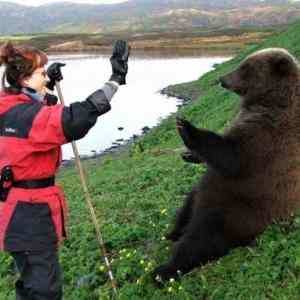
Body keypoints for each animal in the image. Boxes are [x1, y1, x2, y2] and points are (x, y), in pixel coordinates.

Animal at [154, 47, 298, 282]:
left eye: (246, 67)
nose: (222, 79)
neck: (269, 100)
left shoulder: (267, 137)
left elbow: (231, 156)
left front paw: (186, 127)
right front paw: (189, 154)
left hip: (239, 210)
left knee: (203, 238)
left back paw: (164, 270)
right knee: (189, 204)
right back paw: (173, 232)